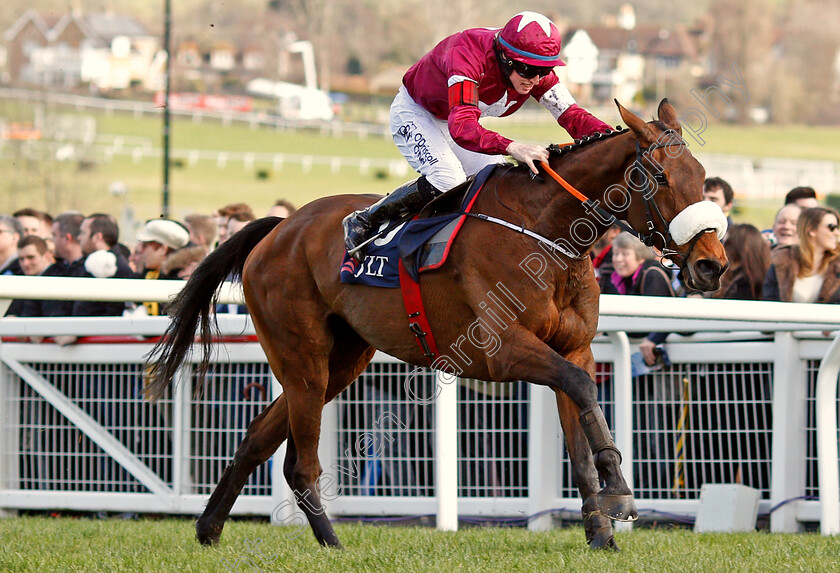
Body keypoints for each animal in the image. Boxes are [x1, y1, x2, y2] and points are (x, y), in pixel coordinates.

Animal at [146, 100, 728, 552]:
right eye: (659, 177)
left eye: (702, 177)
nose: (712, 265)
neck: (548, 233)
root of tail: (278, 228)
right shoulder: (502, 351)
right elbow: (585, 391)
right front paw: (620, 494)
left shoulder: (573, 348)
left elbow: (580, 424)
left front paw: (603, 531)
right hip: (302, 356)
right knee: (299, 462)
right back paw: (331, 542)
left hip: (341, 360)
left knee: (256, 438)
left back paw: (209, 528)